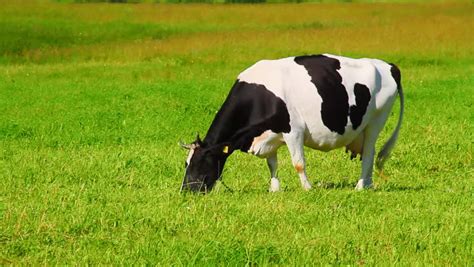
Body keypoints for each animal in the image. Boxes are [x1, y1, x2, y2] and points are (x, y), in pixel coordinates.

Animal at [180, 53, 402, 194]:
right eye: (186, 163)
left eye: (200, 161)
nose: (186, 190)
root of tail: (388, 65)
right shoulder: (268, 134)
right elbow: (272, 164)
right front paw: (274, 189)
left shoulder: (294, 131)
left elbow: (298, 163)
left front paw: (307, 188)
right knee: (368, 153)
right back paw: (369, 184)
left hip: (376, 121)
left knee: (370, 153)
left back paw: (360, 186)